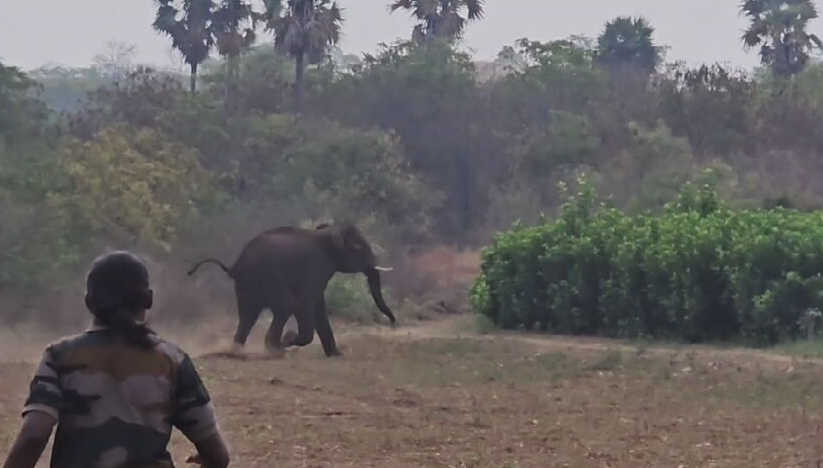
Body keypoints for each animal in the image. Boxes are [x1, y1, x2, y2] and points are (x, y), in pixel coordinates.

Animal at [187, 223, 395, 357]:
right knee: (286, 304)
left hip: (246, 287)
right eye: (360, 249)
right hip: (267, 279)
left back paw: (237, 351)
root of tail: (235, 266)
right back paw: (275, 350)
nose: (392, 322)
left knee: (248, 316)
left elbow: (319, 308)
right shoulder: (311, 270)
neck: (327, 233)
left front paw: (337, 354)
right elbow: (305, 304)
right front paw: (289, 338)